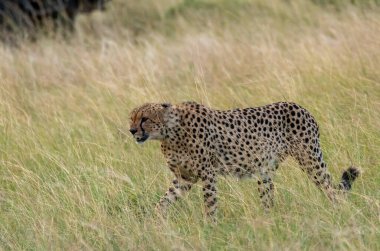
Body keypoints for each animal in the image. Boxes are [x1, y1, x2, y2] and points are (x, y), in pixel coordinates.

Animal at [129, 102, 360, 220]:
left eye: (144, 119)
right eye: (131, 118)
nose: (131, 130)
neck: (170, 133)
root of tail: (300, 106)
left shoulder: (208, 174)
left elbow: (210, 204)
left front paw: (210, 227)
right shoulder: (184, 178)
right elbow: (164, 201)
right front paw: (155, 221)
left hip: (309, 160)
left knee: (330, 188)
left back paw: (340, 211)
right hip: (265, 171)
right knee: (268, 199)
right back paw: (267, 222)